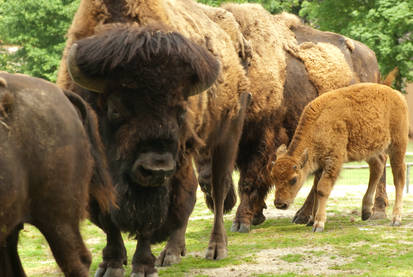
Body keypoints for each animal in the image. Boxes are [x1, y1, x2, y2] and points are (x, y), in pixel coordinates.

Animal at [272, 83, 408, 232]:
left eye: (294, 179)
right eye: (273, 178)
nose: (279, 204)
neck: (317, 124)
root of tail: (397, 95)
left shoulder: (333, 161)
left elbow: (322, 189)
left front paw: (318, 224)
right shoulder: (320, 165)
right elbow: (316, 189)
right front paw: (312, 220)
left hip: (397, 145)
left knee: (399, 177)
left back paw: (396, 219)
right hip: (370, 149)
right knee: (378, 166)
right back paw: (366, 211)